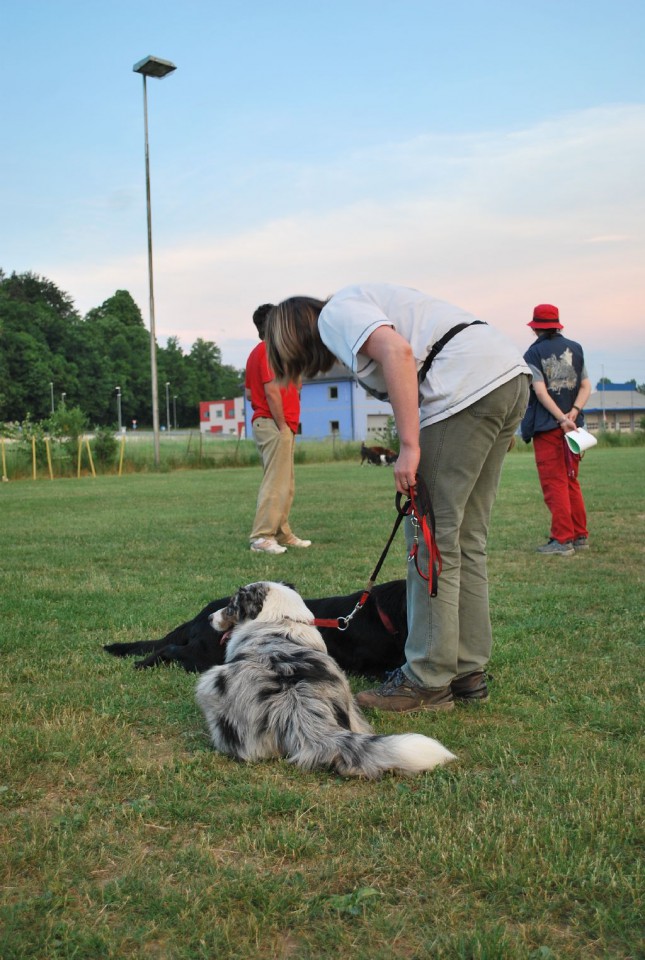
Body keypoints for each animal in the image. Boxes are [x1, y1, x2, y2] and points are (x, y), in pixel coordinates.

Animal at [105, 576, 408, 676]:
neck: (384, 616)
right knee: (169, 649)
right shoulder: (367, 667)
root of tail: (200, 615)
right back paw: (143, 664)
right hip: (206, 655)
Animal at [194, 576, 456, 780]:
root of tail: (300, 709)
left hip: (210, 683)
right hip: (351, 705)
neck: (279, 618)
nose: (209, 618)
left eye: (231, 606)